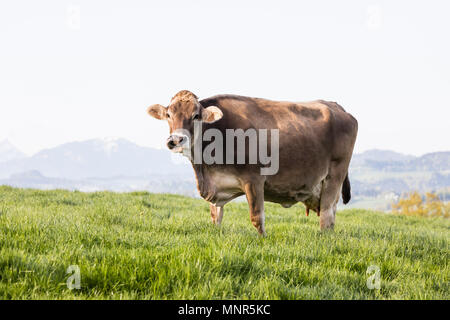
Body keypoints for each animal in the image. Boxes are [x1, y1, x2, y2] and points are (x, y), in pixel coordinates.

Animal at [148, 90, 358, 235]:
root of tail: (335, 106)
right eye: (169, 115)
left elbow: (257, 217)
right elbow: (216, 217)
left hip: (334, 176)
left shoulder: (254, 179)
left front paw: (263, 240)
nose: (176, 140)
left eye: (196, 115)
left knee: (327, 218)